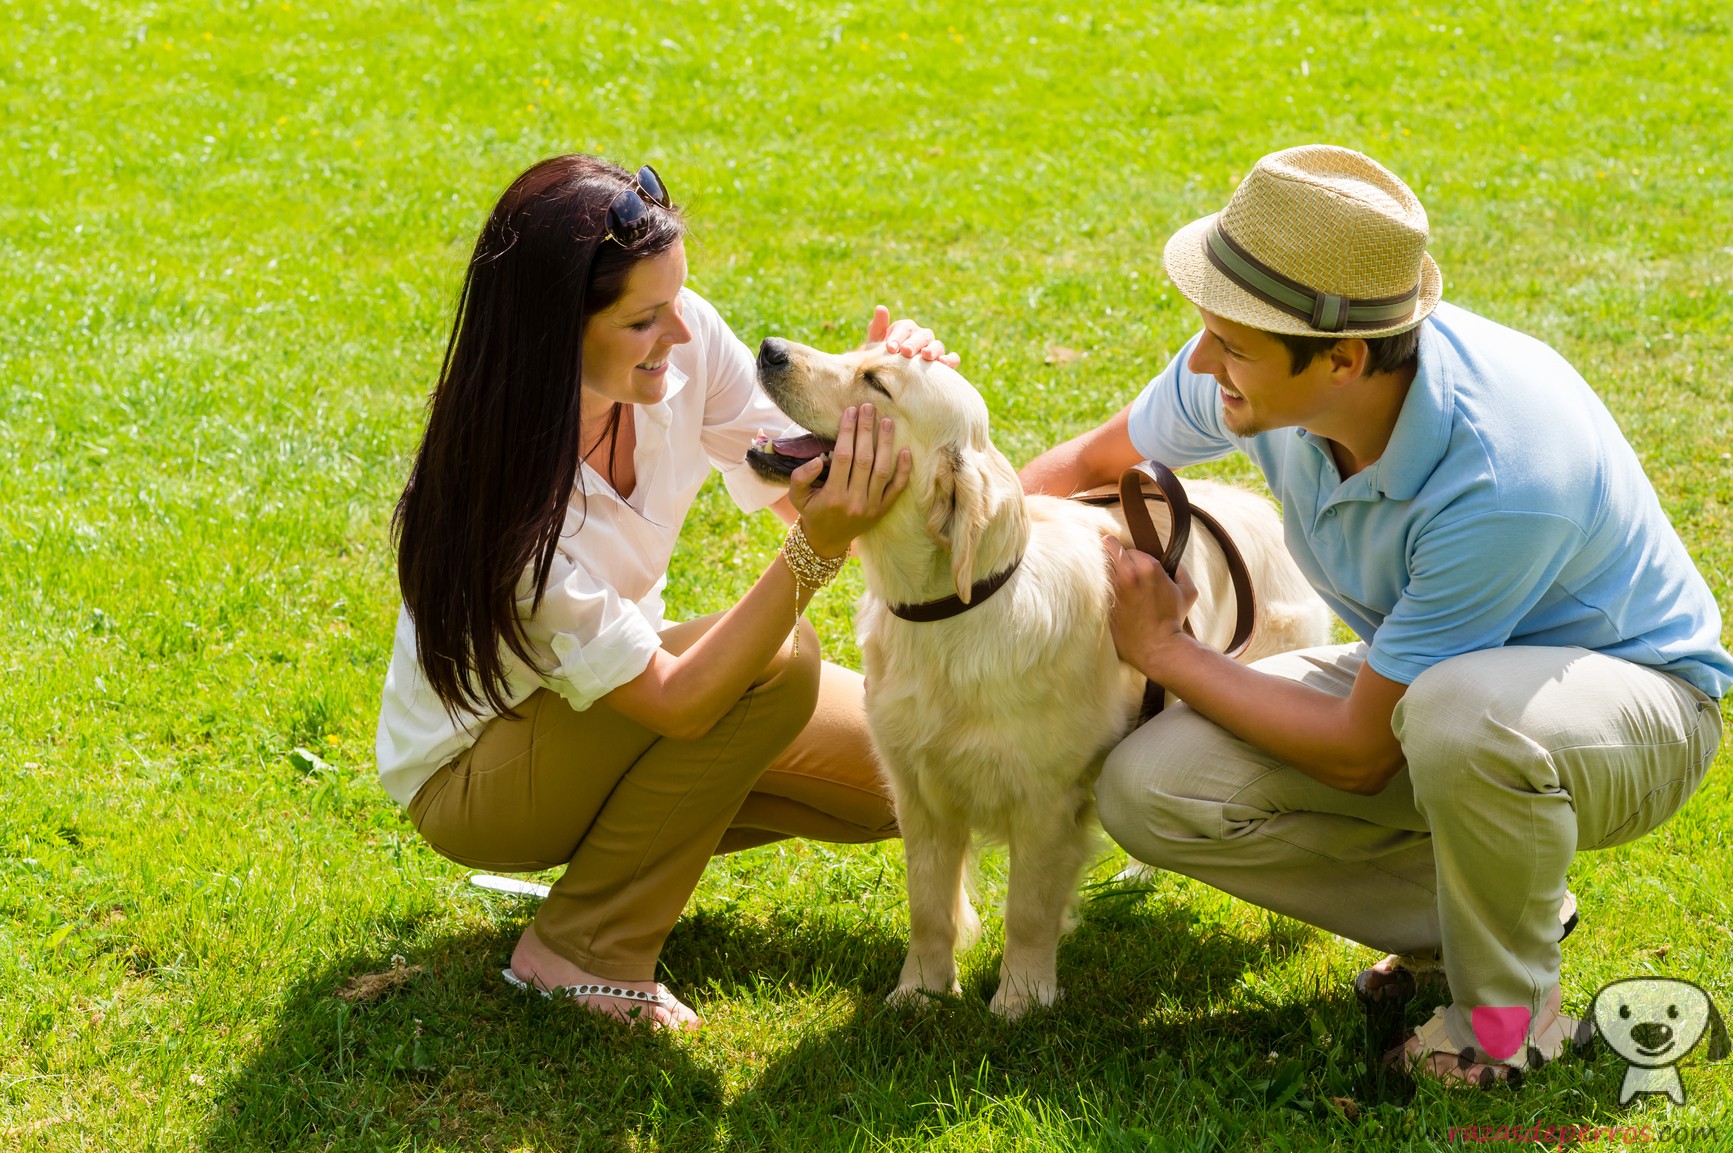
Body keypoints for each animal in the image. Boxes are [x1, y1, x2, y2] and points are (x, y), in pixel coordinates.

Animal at [745, 334, 1324, 1019]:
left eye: (876, 381)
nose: (769, 348)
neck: (956, 610)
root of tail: (1257, 505)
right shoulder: (918, 793)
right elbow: (928, 908)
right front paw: (919, 993)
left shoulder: (1046, 802)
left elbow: (1026, 910)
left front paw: (1020, 999)